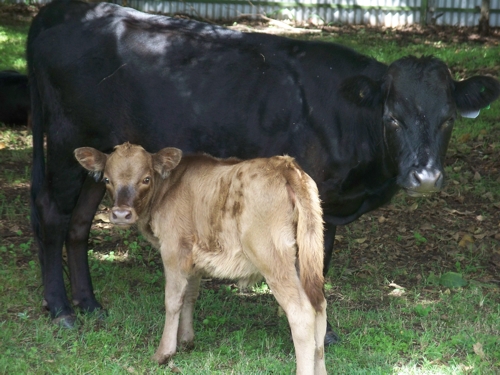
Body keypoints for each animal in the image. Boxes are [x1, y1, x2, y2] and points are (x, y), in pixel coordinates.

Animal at [28, 0, 500, 344]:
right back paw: (63, 309)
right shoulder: (316, 193)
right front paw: (321, 333)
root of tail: (61, 9)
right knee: (52, 215)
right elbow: (315, 264)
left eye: (448, 119)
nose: (426, 178)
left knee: (80, 223)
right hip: (66, 139)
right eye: (394, 118)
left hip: (104, 157)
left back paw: (90, 305)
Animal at [72, 142, 326, 374]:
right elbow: (190, 295)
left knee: (302, 313)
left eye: (146, 179)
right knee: (320, 310)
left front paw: (164, 353)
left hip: (271, 256)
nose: (121, 214)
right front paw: (186, 340)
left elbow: (173, 300)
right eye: (107, 179)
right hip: (305, 259)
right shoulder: (193, 255)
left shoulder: (173, 248)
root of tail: (284, 165)